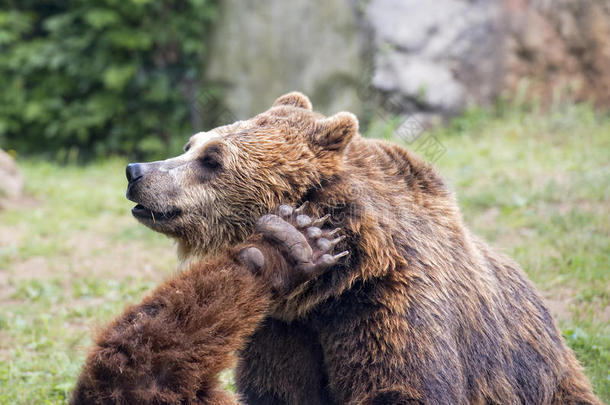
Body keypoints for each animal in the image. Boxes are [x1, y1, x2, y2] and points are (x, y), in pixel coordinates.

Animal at [72, 92, 600, 404]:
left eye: (212, 158)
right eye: (190, 143)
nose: (137, 171)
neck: (329, 290)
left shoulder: (389, 307)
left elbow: (401, 386)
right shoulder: (280, 334)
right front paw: (282, 247)